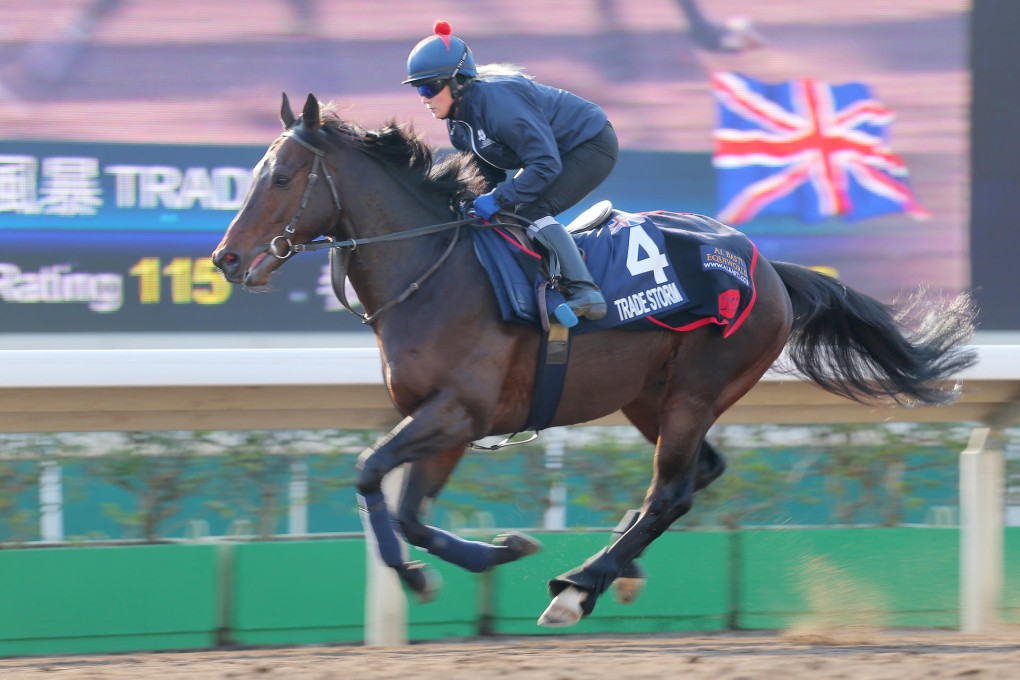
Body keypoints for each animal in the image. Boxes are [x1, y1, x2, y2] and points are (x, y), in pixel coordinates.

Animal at [211, 94, 975, 628]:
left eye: (282, 177)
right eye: (254, 174)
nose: (226, 259)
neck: (432, 269)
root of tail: (771, 268)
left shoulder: (457, 411)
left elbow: (373, 473)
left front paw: (474, 560)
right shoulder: (444, 423)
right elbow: (405, 510)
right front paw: (460, 563)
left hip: (697, 389)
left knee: (672, 491)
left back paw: (579, 586)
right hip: (650, 396)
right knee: (697, 475)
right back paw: (613, 567)